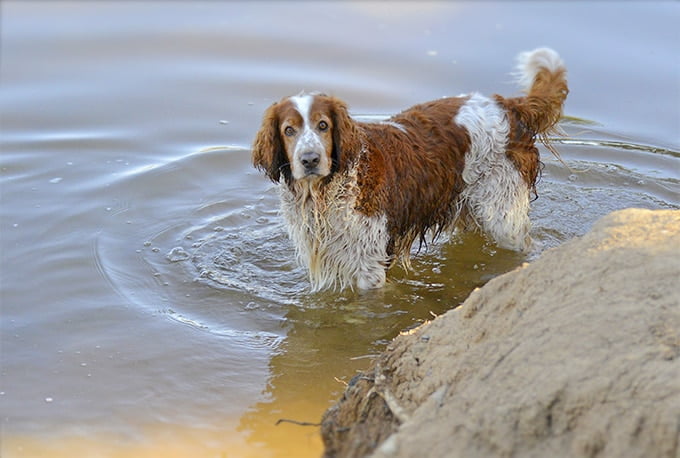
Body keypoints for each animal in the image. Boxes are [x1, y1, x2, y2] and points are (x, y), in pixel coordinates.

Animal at [252, 46, 564, 290]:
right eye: (289, 130)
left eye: (323, 125)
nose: (309, 159)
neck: (326, 192)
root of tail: (507, 105)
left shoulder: (369, 266)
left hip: (504, 215)